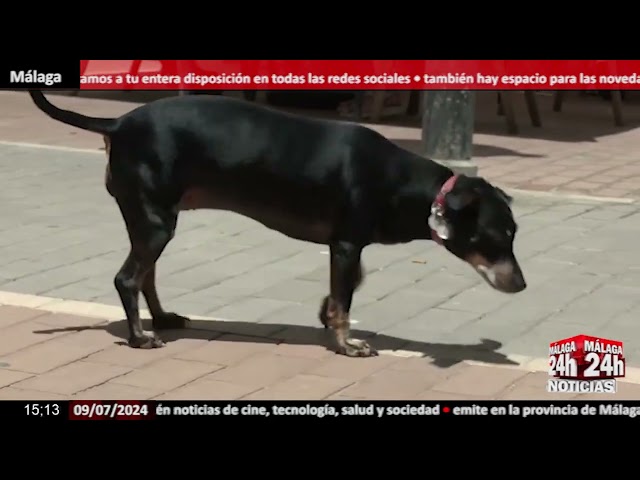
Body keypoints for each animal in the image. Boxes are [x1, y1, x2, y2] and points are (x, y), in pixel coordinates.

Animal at [28, 92, 524, 358]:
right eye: (498, 236)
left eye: (514, 234)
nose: (520, 285)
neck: (401, 181)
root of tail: (117, 122)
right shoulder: (347, 243)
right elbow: (347, 297)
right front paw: (347, 343)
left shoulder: (344, 246)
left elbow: (347, 287)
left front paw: (327, 313)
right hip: (154, 221)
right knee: (127, 277)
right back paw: (139, 337)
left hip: (152, 220)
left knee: (145, 275)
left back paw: (164, 319)